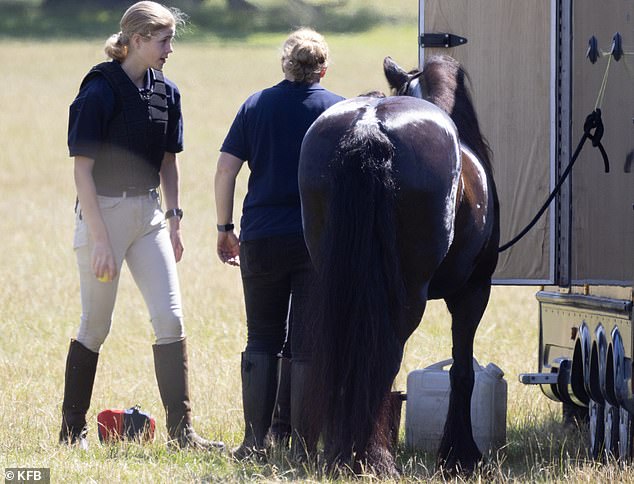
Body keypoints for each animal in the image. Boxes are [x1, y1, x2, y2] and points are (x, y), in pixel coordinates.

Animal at [296, 54, 498, 474]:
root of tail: (370, 126)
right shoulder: (473, 291)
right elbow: (462, 371)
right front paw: (460, 453)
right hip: (406, 294)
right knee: (383, 360)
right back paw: (372, 455)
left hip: (336, 281)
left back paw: (343, 450)